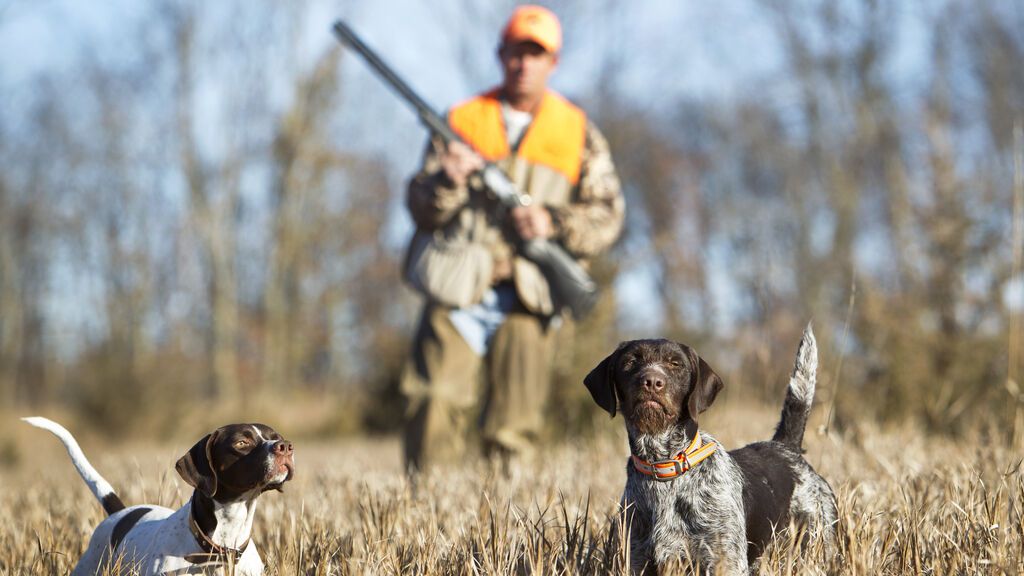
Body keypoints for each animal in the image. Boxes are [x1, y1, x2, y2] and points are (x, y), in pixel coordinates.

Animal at [589, 325, 835, 569]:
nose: (651, 382)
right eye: (630, 361)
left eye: (675, 364)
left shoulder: (725, 561)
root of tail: (786, 447)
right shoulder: (637, 559)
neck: (663, 466)